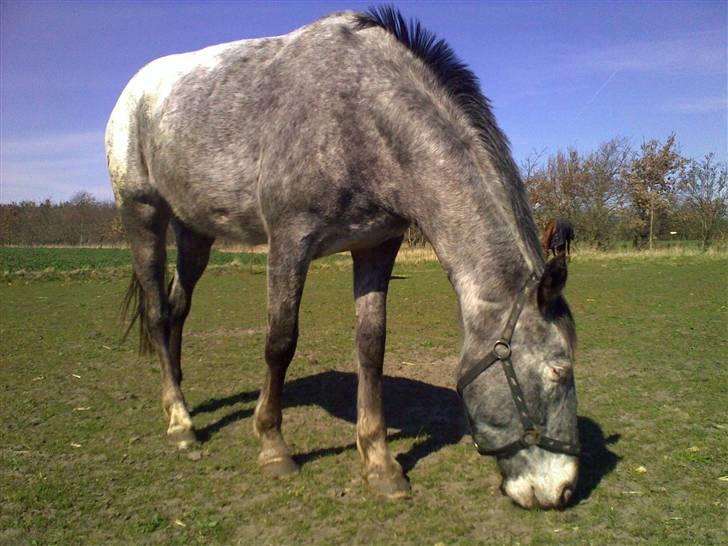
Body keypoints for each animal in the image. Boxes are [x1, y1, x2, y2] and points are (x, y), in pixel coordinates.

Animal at [106, 6, 580, 508]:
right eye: (559, 371)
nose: (563, 489)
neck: (362, 115)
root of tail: (134, 92)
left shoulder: (375, 246)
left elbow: (371, 346)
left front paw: (379, 462)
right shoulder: (289, 240)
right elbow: (280, 341)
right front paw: (273, 448)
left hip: (194, 232)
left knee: (178, 308)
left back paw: (179, 394)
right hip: (143, 214)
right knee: (158, 312)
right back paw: (179, 423)